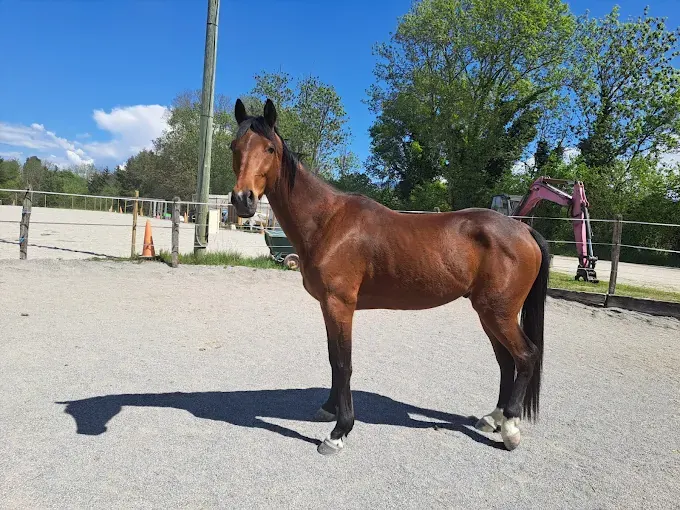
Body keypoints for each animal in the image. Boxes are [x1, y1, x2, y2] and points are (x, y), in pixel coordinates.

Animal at [229, 98, 550, 456]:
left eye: (269, 148)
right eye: (234, 146)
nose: (243, 199)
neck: (328, 222)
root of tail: (523, 229)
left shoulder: (340, 305)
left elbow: (344, 363)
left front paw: (339, 432)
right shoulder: (328, 307)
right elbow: (333, 359)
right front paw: (328, 409)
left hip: (499, 313)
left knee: (525, 357)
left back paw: (510, 429)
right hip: (489, 313)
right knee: (506, 362)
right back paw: (492, 419)